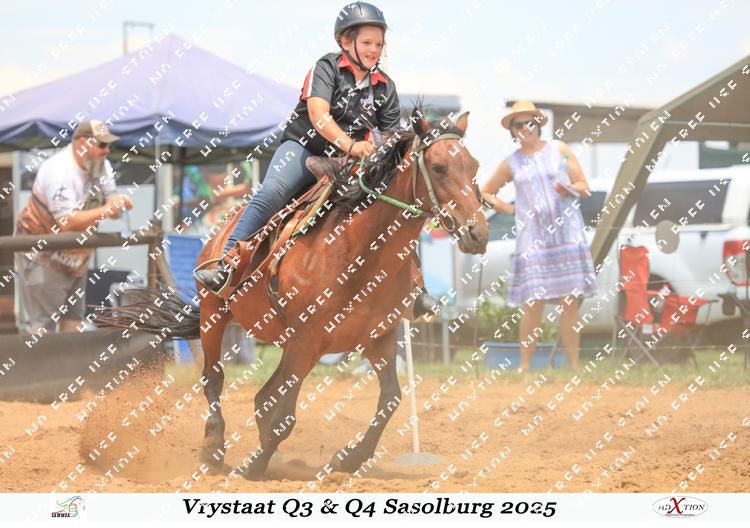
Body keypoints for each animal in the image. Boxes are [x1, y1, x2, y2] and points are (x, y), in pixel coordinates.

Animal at [99, 107, 488, 480]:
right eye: (438, 167)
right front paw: (254, 466)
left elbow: (390, 399)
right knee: (215, 378)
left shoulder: (378, 337)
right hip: (215, 313)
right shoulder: (306, 338)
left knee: (263, 396)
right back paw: (213, 447)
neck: (358, 249)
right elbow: (284, 413)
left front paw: (348, 458)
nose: (478, 233)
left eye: (474, 166)